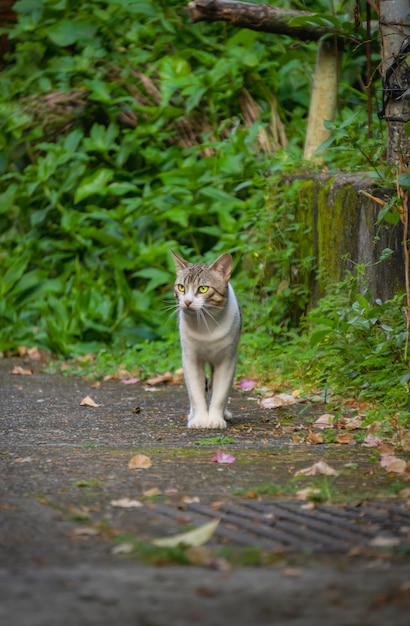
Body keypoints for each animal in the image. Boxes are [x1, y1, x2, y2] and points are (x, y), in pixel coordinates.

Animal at [170, 251, 240, 426]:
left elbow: (221, 392)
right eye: (181, 287)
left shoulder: (227, 358)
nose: (187, 301)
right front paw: (200, 419)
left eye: (203, 289)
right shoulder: (190, 357)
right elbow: (195, 392)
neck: (206, 324)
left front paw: (215, 419)